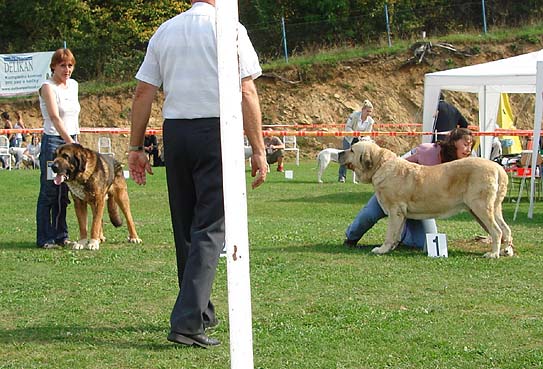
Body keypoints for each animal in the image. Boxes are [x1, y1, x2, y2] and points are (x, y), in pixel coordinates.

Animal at [340, 139, 516, 258]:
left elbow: (390, 233)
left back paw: (493, 254)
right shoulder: (400, 213)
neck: (380, 165)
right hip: (494, 207)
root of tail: (498, 168)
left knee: (497, 231)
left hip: (481, 206)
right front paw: (392, 247)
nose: (340, 153)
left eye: (352, 150)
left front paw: (382, 249)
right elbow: (397, 233)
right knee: (506, 229)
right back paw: (506, 250)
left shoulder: (395, 210)